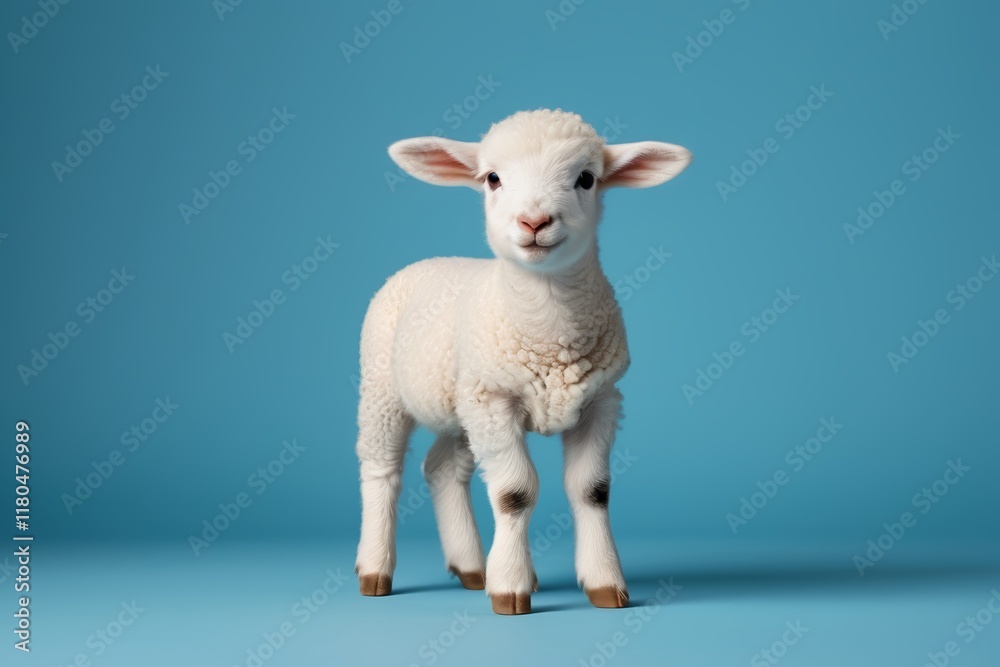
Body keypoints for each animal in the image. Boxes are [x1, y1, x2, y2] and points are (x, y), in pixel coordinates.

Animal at [355, 108, 691, 615]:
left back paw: (472, 568)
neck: (549, 332)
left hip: (461, 404)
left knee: (442, 468)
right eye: (492, 179)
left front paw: (605, 583)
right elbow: (514, 494)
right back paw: (375, 570)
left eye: (586, 179)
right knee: (381, 471)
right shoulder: (495, 401)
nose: (534, 221)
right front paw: (510, 588)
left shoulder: (600, 400)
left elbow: (592, 491)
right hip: (383, 389)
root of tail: (429, 261)